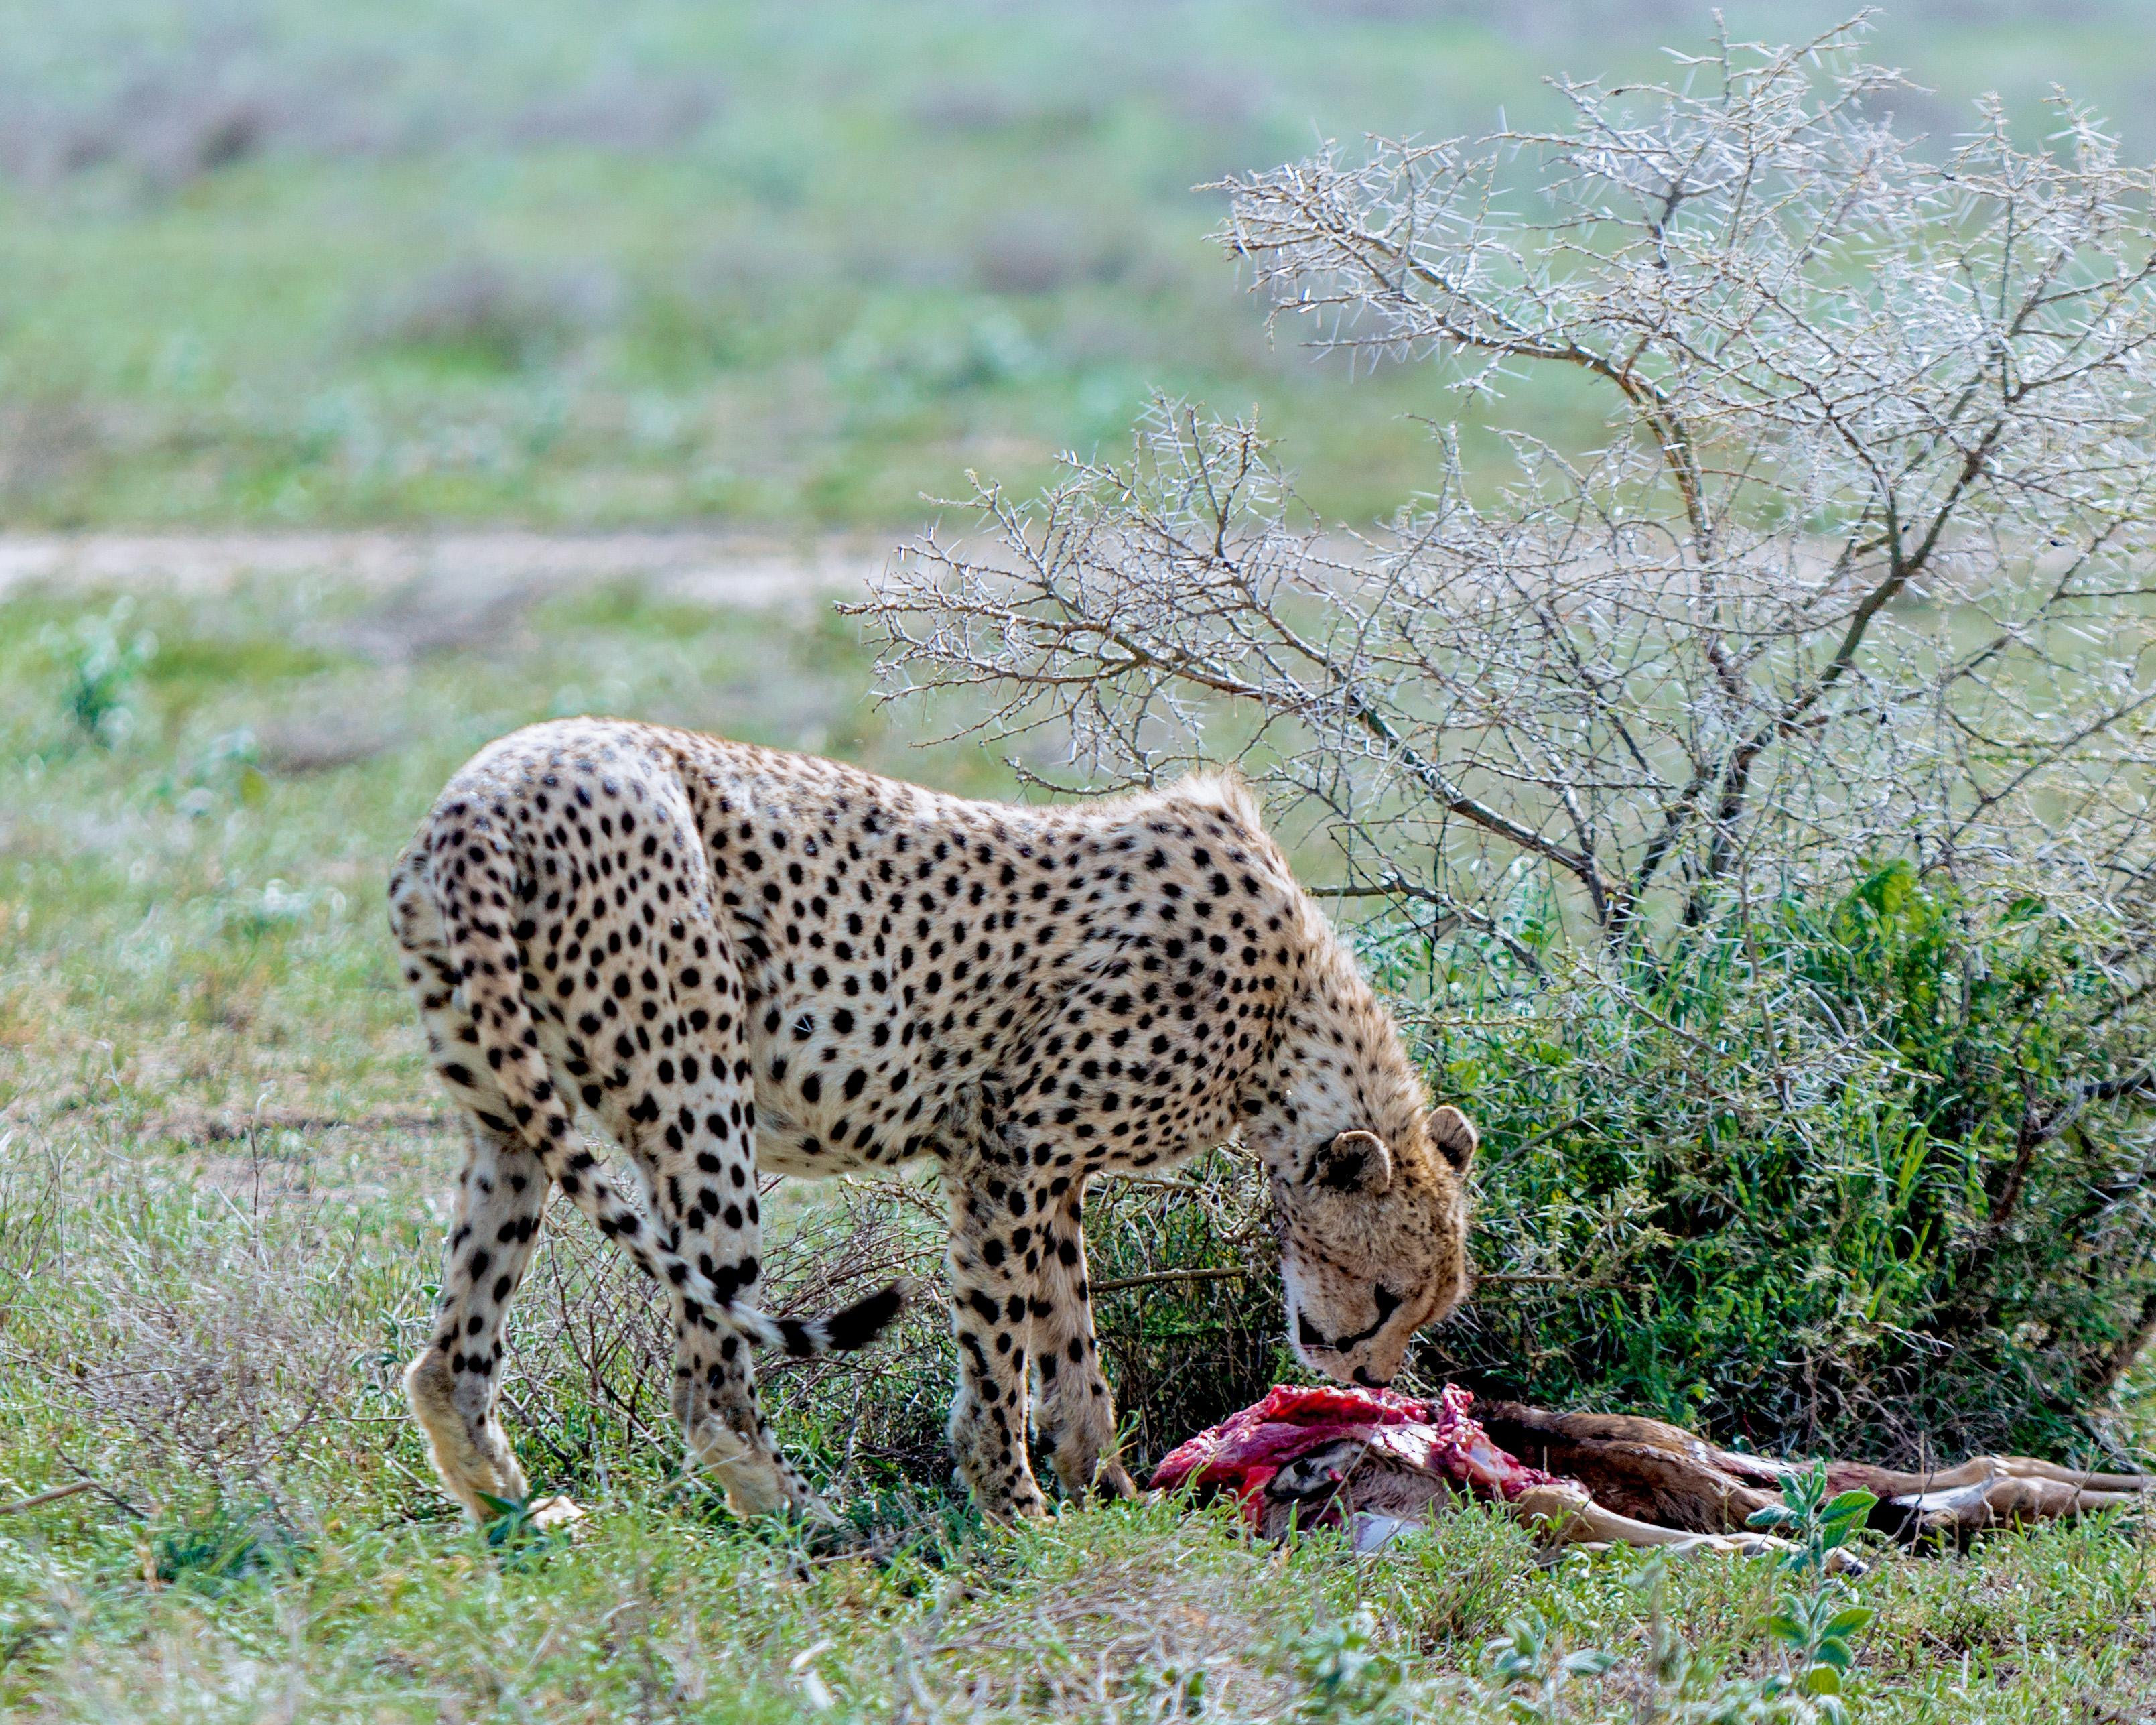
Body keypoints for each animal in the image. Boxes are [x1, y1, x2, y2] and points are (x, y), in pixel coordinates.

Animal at [388, 718, 1479, 1525]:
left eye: (1425, 1307)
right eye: (1383, 1295)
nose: (1367, 1382)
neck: (1289, 1020)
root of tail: (488, 788)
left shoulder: (1051, 1170)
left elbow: (1070, 1338)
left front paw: (1104, 1485)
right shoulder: (1011, 1141)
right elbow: (1000, 1343)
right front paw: (1014, 1507)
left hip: (508, 1114)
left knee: (453, 1356)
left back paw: (519, 1520)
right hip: (701, 1099)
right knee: (710, 1376)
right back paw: (812, 1525)